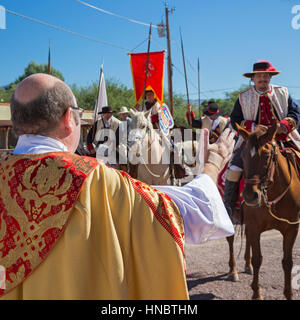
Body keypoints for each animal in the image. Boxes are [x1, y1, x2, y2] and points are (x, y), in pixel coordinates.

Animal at [232, 123, 300, 300]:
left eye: (267, 154)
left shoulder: (292, 228)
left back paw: (246, 264)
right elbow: (258, 259)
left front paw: (289, 294)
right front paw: (257, 293)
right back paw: (233, 271)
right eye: (243, 154)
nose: (250, 196)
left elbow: (287, 262)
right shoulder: (254, 226)